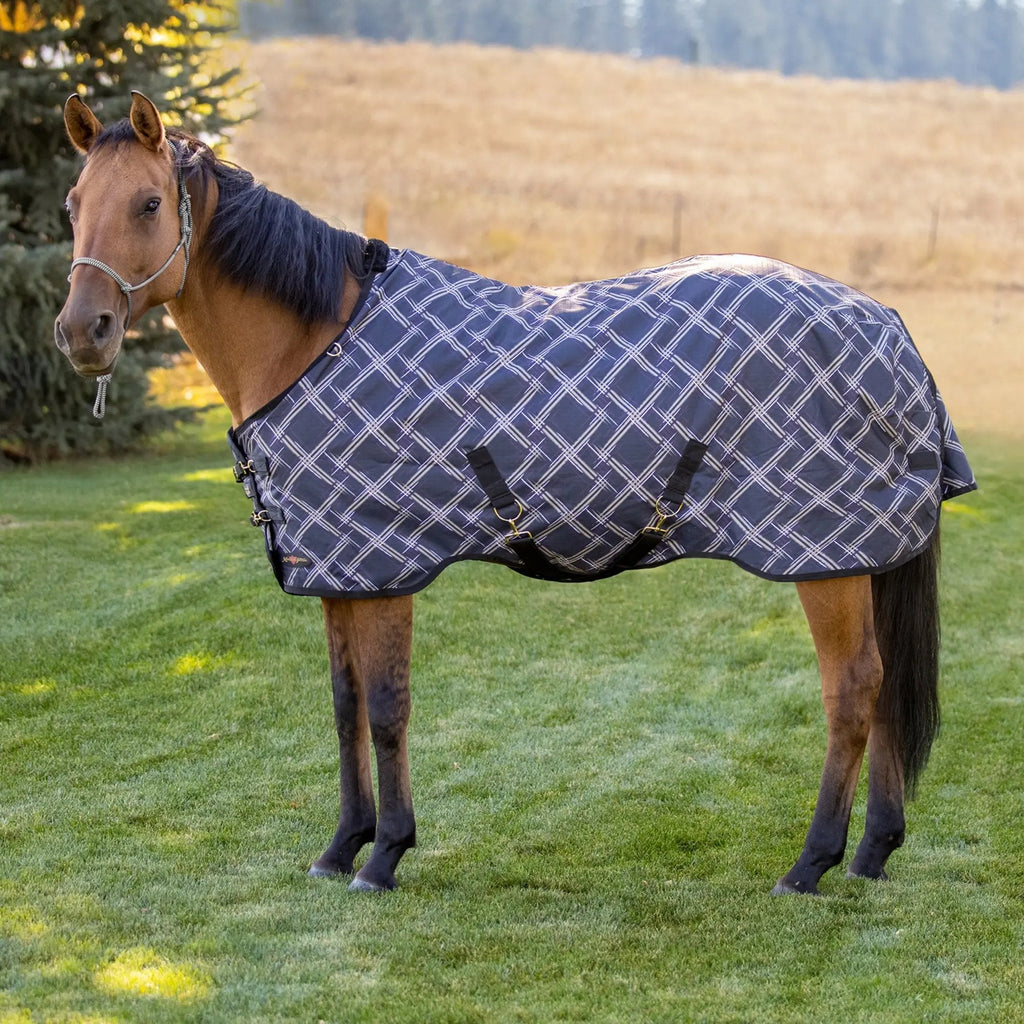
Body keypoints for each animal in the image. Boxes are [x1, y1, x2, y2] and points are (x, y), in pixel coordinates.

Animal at [54, 91, 975, 895]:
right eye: (72, 205)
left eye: (147, 203)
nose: (82, 332)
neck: (316, 339)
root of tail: (890, 329)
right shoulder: (339, 568)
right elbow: (345, 706)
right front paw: (340, 846)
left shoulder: (383, 568)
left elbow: (386, 708)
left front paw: (384, 856)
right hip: (863, 554)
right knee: (884, 689)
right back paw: (871, 854)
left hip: (827, 557)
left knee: (852, 691)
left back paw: (810, 865)